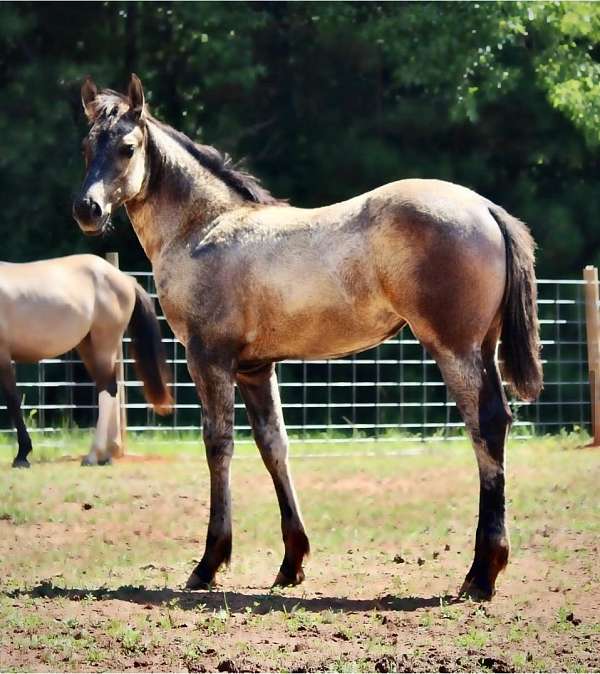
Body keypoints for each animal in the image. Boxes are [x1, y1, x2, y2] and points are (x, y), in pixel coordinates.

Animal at [0, 253, 173, 468]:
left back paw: (93, 455)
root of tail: (125, 279)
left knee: (108, 388)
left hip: (103, 344)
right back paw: (106, 455)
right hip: (88, 346)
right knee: (106, 387)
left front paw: (22, 455)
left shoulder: (3, 356)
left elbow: (13, 402)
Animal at [72, 75, 540, 600]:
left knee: (486, 426)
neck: (203, 227)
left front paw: (209, 564)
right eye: (87, 146)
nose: (87, 209)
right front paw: (291, 562)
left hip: (454, 348)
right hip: (483, 348)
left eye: (127, 148)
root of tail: (484, 206)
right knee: (498, 422)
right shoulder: (255, 369)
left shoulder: (208, 358)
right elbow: (274, 445)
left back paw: (481, 572)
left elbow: (218, 445)